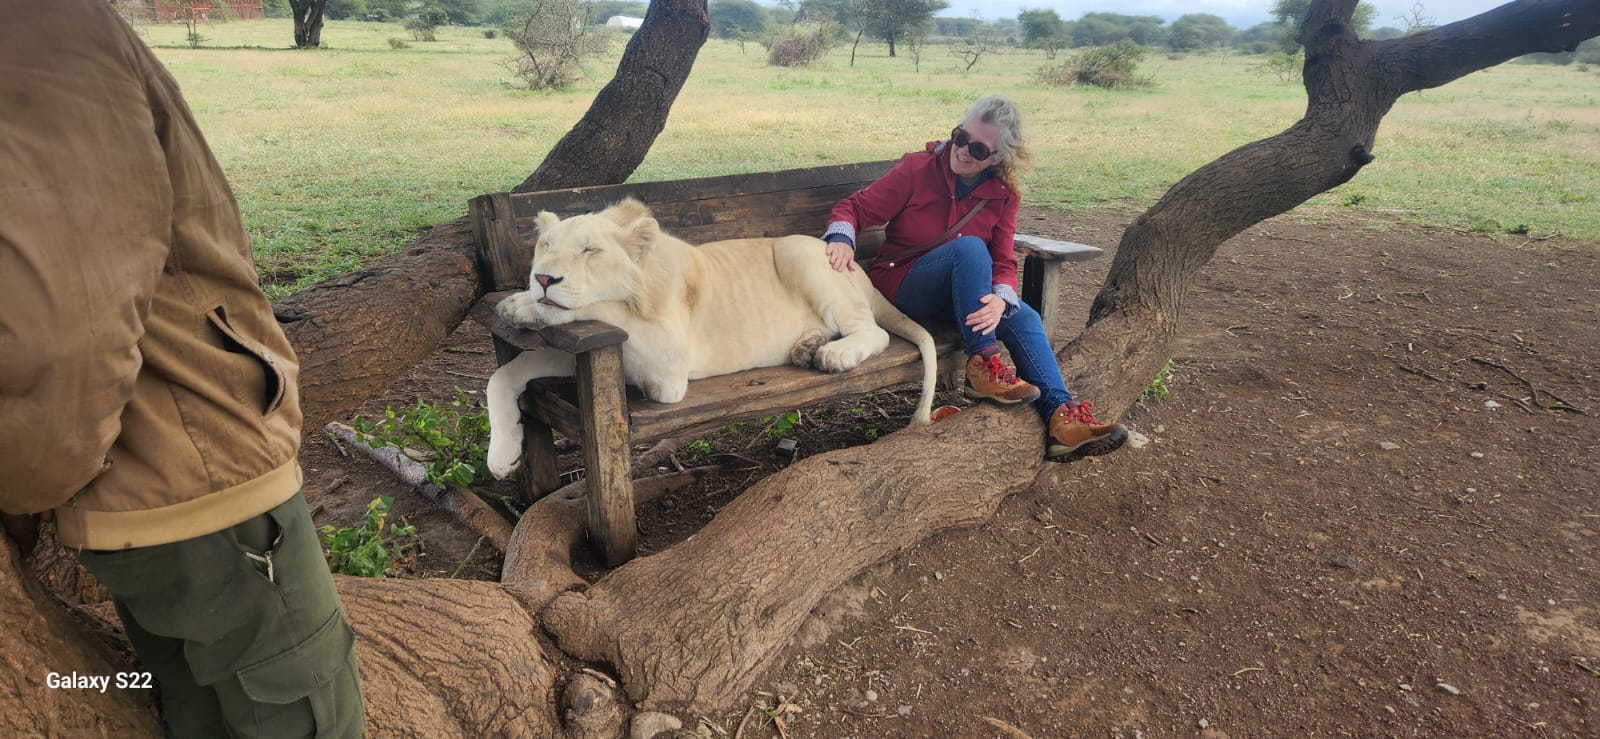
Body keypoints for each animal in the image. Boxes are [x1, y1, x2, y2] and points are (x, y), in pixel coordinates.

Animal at [485, 197, 937, 479]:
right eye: (545, 245)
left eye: (589, 251)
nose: (543, 278)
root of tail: (861, 272)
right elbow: (502, 375)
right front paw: (503, 457)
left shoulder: (667, 368)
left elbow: (600, 307)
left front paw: (524, 304)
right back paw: (806, 347)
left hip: (799, 253)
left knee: (874, 332)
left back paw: (834, 355)